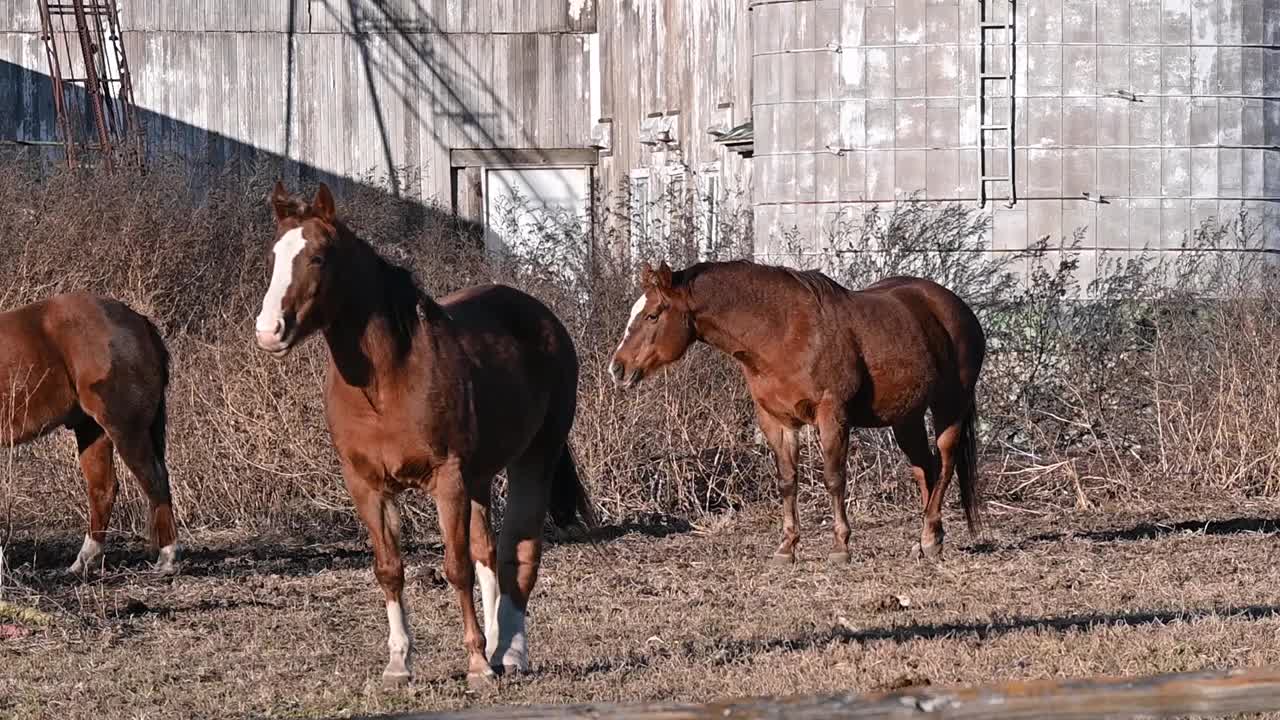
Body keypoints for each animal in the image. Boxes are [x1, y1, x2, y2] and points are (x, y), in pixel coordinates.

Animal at [0, 289, 177, 571]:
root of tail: (139, 321)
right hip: (93, 430)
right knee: (103, 489)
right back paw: (85, 560)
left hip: (125, 428)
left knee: (155, 480)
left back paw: (166, 558)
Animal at [258, 180, 599, 681]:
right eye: (274, 256)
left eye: (318, 257)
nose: (269, 331)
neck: (387, 381)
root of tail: (541, 316)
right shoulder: (367, 485)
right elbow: (390, 568)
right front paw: (400, 663)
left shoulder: (448, 478)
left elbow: (456, 567)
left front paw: (476, 664)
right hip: (481, 476)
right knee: (487, 553)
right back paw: (496, 642)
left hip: (534, 457)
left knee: (519, 549)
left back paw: (508, 653)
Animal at [606, 258, 977, 561]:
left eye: (653, 315)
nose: (618, 368)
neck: (784, 332)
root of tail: (955, 306)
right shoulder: (777, 421)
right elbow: (787, 481)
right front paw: (787, 546)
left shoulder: (832, 416)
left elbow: (833, 478)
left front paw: (840, 546)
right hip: (906, 417)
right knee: (925, 469)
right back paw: (928, 539)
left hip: (950, 407)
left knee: (945, 463)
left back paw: (929, 535)